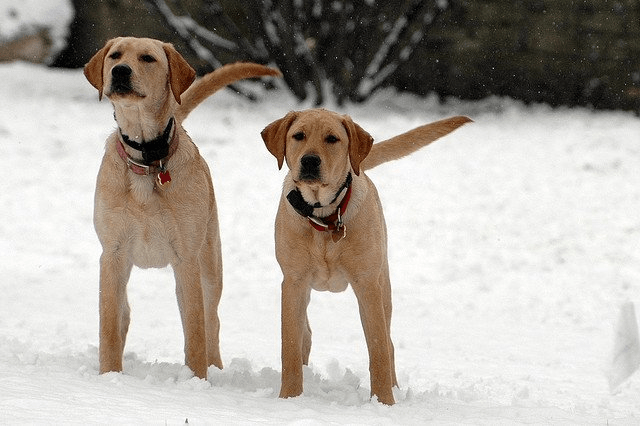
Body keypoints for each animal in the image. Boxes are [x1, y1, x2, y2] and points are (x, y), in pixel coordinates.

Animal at [83, 35, 280, 378]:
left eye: (147, 58)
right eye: (115, 56)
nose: (120, 71)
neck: (147, 160)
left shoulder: (186, 258)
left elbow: (196, 331)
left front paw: (196, 380)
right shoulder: (112, 254)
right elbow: (108, 325)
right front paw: (109, 376)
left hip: (210, 266)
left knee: (211, 320)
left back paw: (214, 369)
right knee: (125, 314)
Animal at [260, 108, 470, 404]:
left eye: (332, 139)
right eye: (298, 136)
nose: (310, 160)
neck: (325, 218)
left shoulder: (368, 284)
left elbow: (379, 349)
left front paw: (384, 403)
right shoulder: (293, 282)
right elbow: (289, 346)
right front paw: (289, 399)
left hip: (384, 286)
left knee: (389, 343)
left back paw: (394, 388)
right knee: (306, 335)